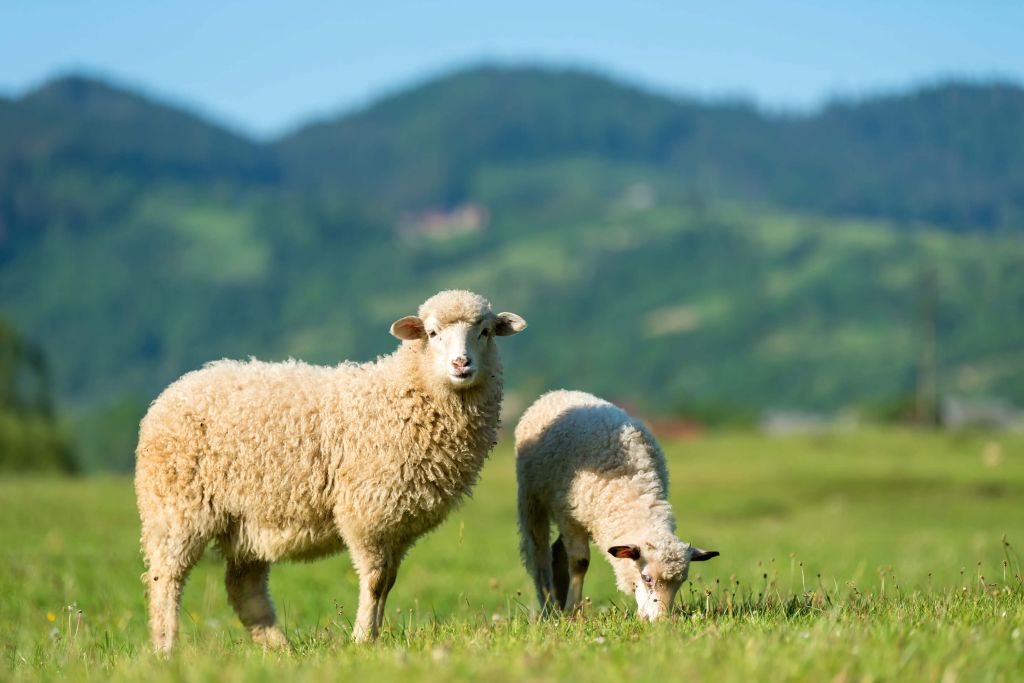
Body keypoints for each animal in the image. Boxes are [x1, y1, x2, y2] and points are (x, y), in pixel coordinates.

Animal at [136, 288, 528, 651]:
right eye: (432, 333)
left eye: (485, 332)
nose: (462, 364)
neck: (405, 393)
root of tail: (174, 391)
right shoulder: (365, 513)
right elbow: (375, 581)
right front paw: (361, 640)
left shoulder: (400, 523)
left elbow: (389, 581)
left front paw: (374, 636)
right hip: (176, 508)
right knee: (165, 579)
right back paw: (166, 649)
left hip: (248, 521)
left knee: (243, 589)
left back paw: (280, 650)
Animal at [516, 389, 716, 618]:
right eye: (647, 578)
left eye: (681, 582)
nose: (660, 621)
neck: (632, 489)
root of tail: (557, 393)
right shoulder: (569, 517)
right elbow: (580, 562)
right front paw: (573, 612)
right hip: (532, 497)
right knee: (538, 553)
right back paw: (548, 605)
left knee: (557, 550)